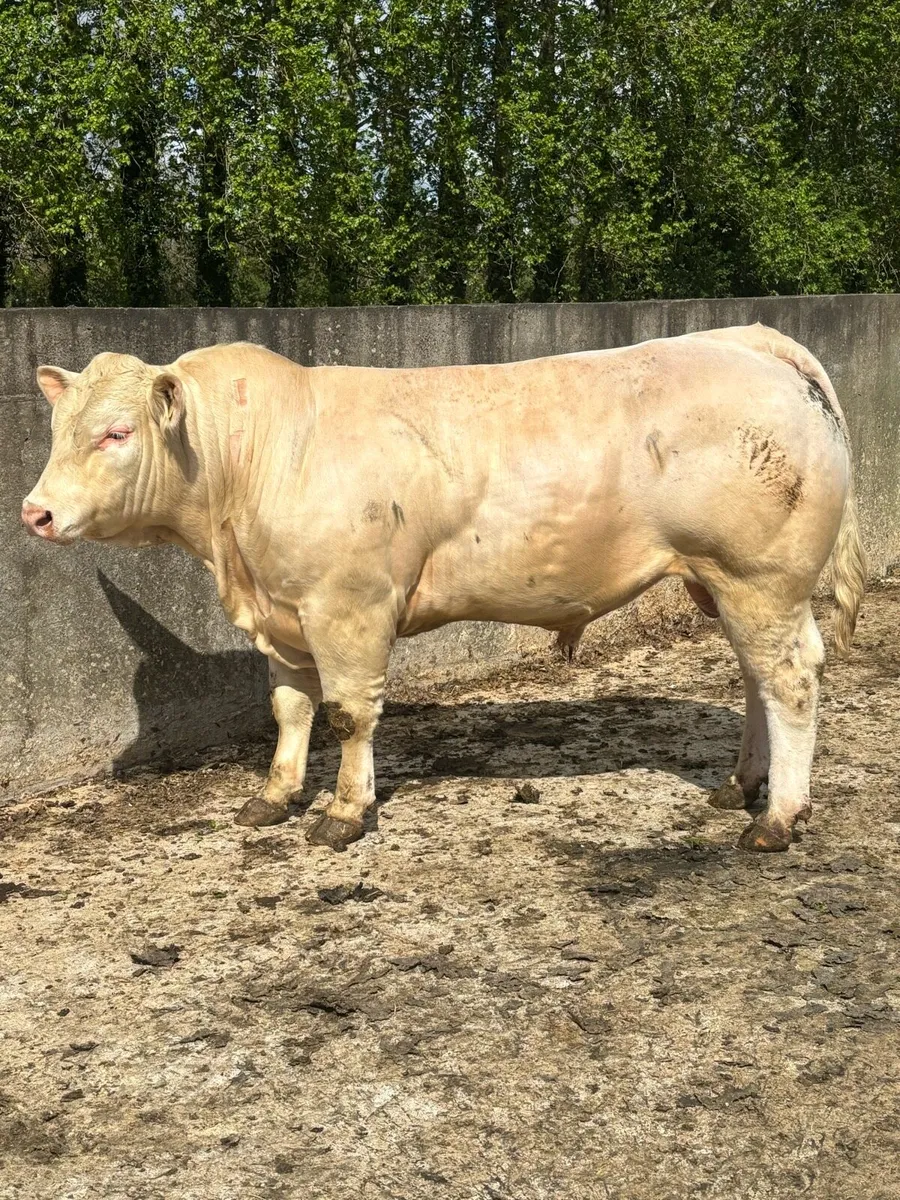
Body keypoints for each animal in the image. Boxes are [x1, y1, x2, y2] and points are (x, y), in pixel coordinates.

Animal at [22, 324, 865, 853]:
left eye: (117, 432)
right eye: (58, 429)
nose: (36, 512)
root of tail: (747, 340)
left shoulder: (349, 606)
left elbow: (348, 715)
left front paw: (344, 811)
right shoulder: (284, 613)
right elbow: (290, 709)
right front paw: (273, 795)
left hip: (761, 577)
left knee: (790, 680)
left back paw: (777, 817)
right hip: (717, 581)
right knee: (756, 678)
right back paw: (740, 785)